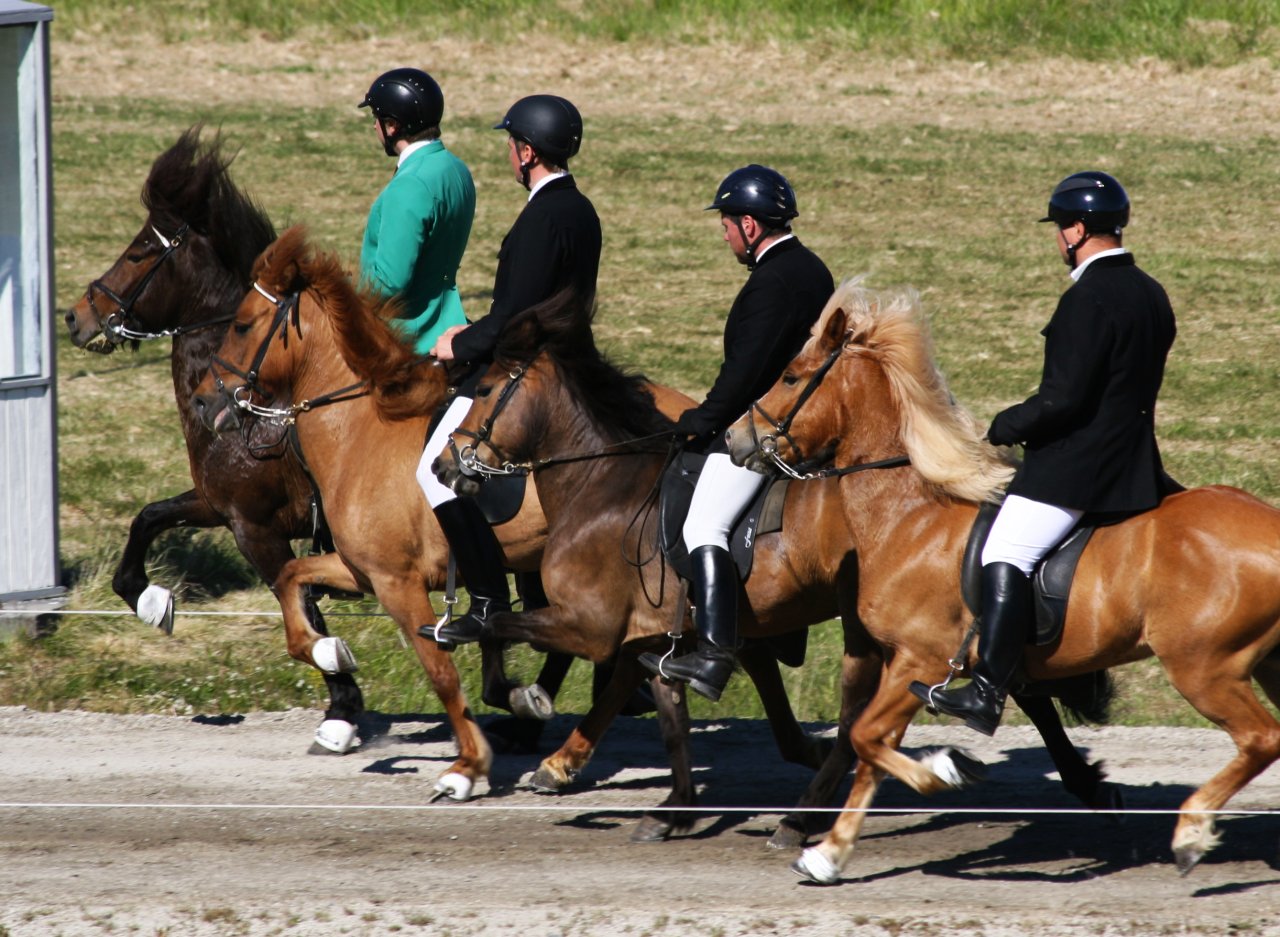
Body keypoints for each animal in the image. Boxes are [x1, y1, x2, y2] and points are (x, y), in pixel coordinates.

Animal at [189, 226, 829, 803]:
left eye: (241, 324)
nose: (201, 400)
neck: (362, 426)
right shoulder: (363, 570)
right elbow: (292, 581)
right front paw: (330, 652)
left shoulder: (398, 583)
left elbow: (441, 669)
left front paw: (467, 766)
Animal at [435, 281, 1116, 839]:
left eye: (486, 390)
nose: (444, 465)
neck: (605, 483)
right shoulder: (653, 632)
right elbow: (669, 710)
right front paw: (672, 803)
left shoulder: (591, 624)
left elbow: (503, 628)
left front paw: (518, 698)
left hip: (872, 629)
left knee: (939, 700)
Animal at [727, 281, 1280, 880]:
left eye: (789, 376)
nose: (735, 440)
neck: (912, 512)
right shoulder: (905, 663)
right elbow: (870, 749)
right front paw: (829, 853)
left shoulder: (919, 659)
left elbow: (865, 736)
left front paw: (943, 770)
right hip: (1261, 663)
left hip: (1205, 669)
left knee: (1261, 738)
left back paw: (1191, 832)